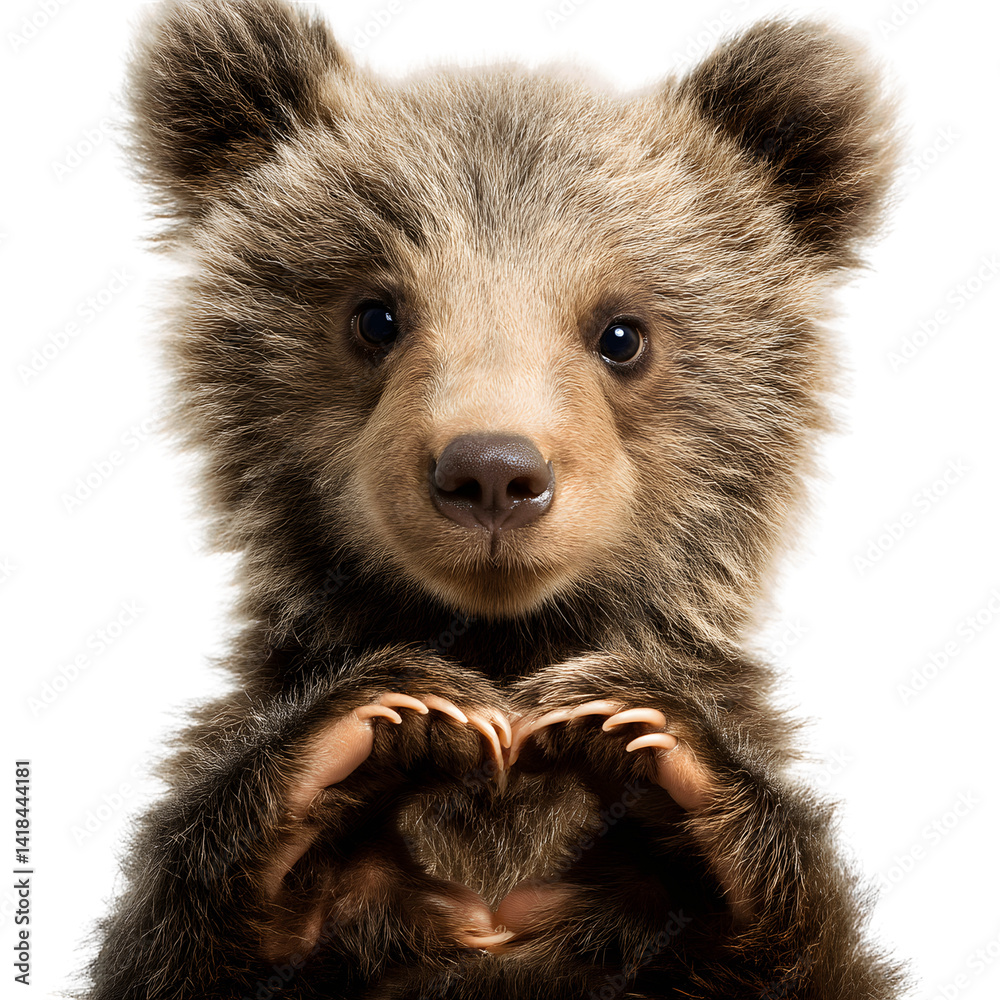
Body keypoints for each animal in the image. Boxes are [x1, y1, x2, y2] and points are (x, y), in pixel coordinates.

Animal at [86, 1, 905, 997]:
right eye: (376, 315)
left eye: (622, 333)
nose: (492, 472)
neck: (504, 644)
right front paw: (379, 727)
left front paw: (640, 736)